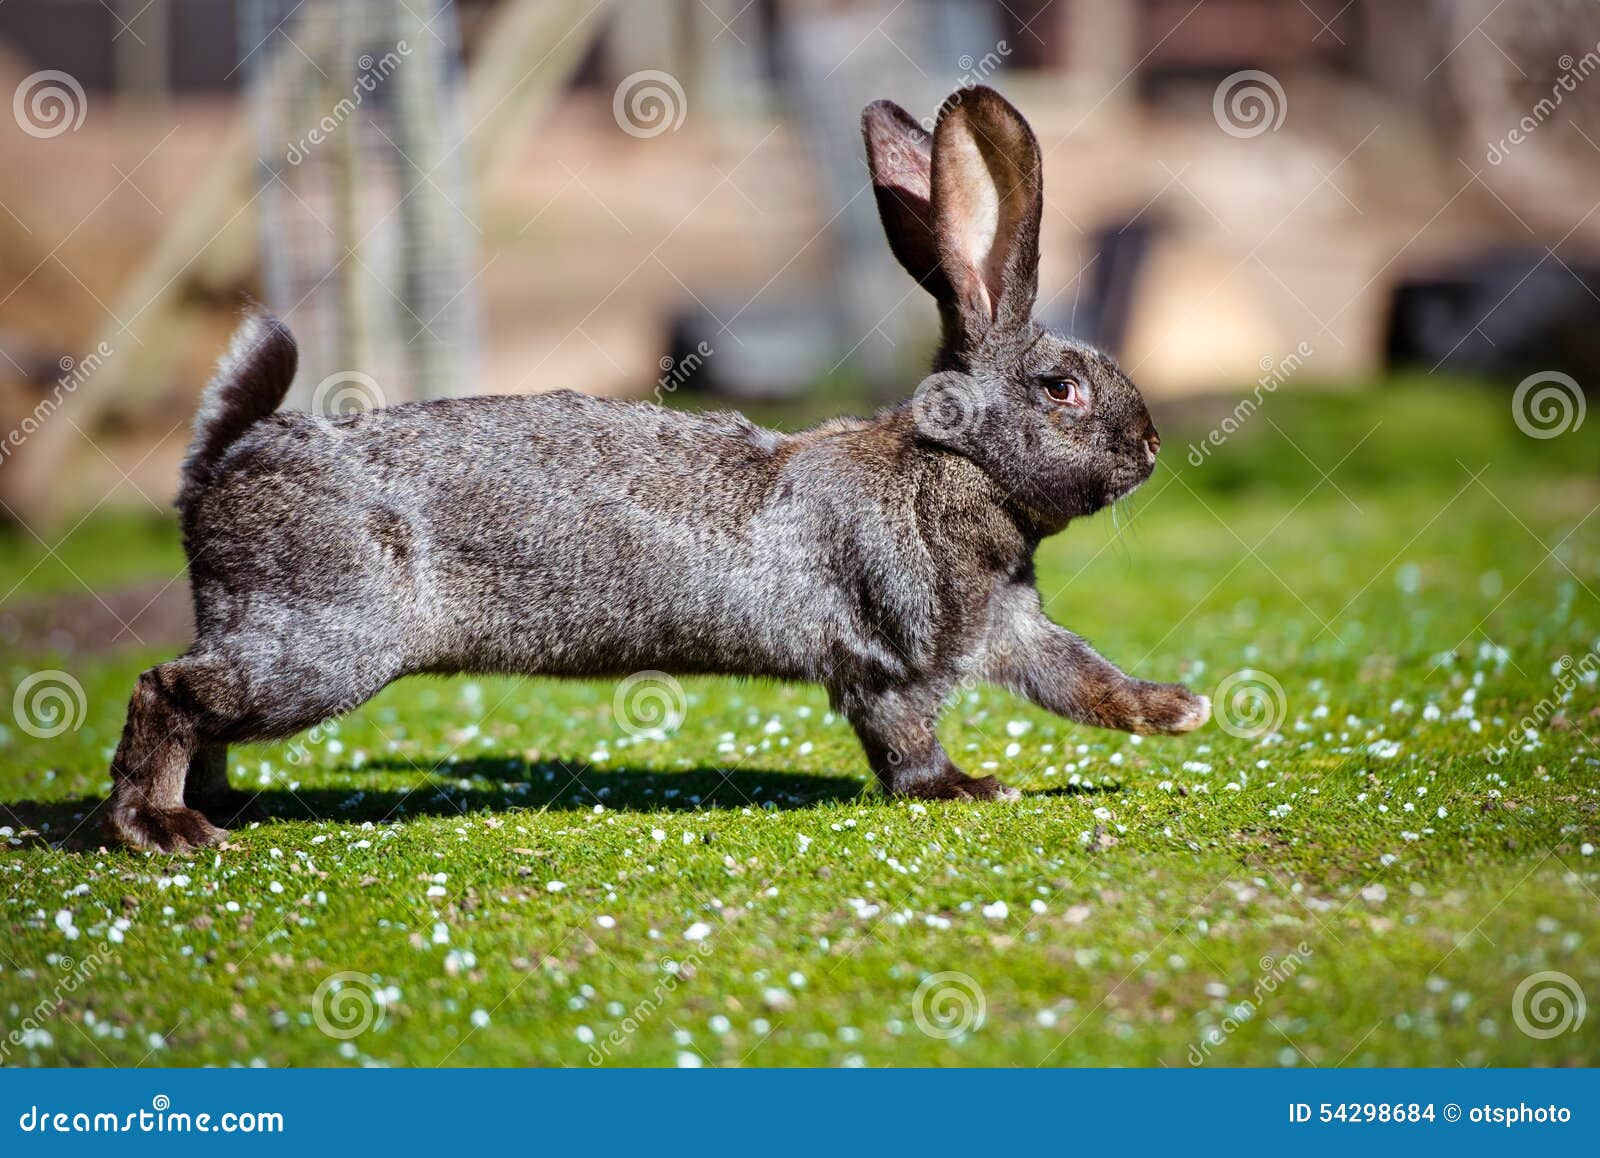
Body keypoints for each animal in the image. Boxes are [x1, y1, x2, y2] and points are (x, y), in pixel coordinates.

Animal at [105, 85, 1209, 852]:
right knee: (167, 692)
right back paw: (166, 830)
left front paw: (1177, 711)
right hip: (327, 641)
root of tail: (220, 466)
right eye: (1060, 389)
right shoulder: (894, 652)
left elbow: (1081, 678)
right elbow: (904, 739)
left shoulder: (1008, 625)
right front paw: (964, 789)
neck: (949, 466)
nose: (1152, 445)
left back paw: (221, 804)